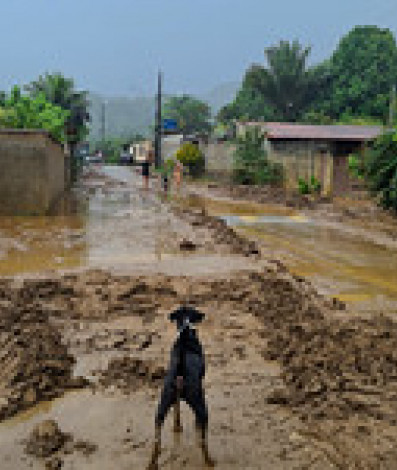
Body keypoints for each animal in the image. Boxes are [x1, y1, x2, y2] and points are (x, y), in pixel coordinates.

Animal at [148, 304, 213, 466]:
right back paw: (209, 460)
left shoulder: (174, 400)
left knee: (156, 437)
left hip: (163, 402)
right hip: (201, 406)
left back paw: (152, 463)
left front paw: (177, 426)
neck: (186, 327)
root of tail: (180, 370)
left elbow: (176, 409)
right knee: (203, 439)